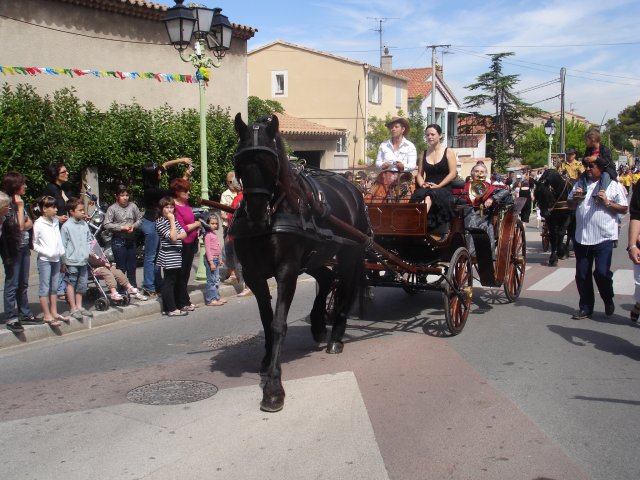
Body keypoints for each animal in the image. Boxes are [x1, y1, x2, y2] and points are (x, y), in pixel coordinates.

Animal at [231, 113, 370, 412]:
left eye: (270, 162)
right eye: (240, 161)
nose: (257, 215)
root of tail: (352, 188)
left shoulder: (287, 271)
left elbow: (278, 323)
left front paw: (273, 388)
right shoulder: (253, 274)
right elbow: (266, 319)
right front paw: (266, 360)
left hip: (348, 255)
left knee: (346, 289)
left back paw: (336, 337)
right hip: (316, 255)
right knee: (327, 279)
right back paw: (318, 325)